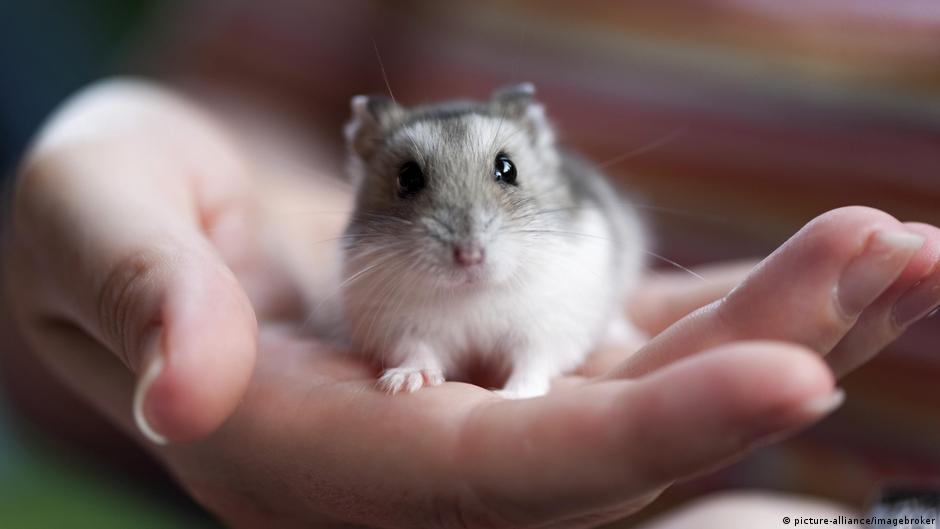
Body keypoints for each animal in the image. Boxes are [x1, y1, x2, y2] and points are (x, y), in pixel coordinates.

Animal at [339, 83, 645, 398]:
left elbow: (533, 362)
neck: (471, 293)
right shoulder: (399, 327)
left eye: (507, 169)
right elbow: (417, 351)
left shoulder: (549, 328)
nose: (469, 256)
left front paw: (511, 395)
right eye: (407, 177)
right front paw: (405, 382)